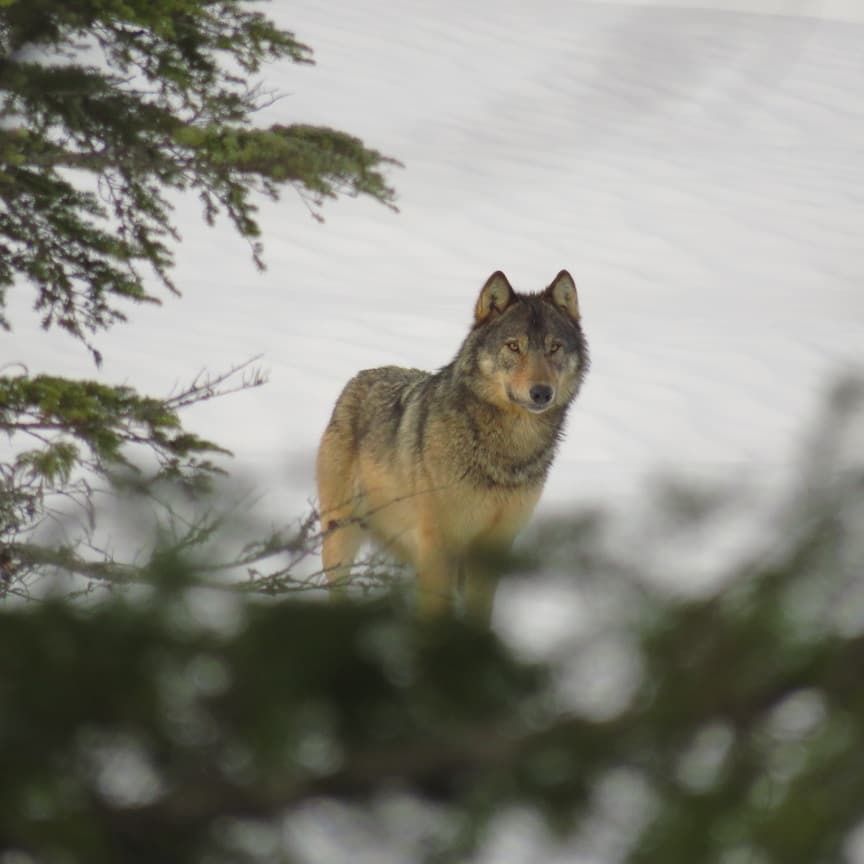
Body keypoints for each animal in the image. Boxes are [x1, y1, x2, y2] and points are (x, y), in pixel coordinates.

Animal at [316, 270, 589, 619]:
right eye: (514, 346)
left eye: (554, 347)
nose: (541, 393)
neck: (507, 450)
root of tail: (358, 378)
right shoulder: (439, 545)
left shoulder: (494, 548)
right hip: (342, 535)